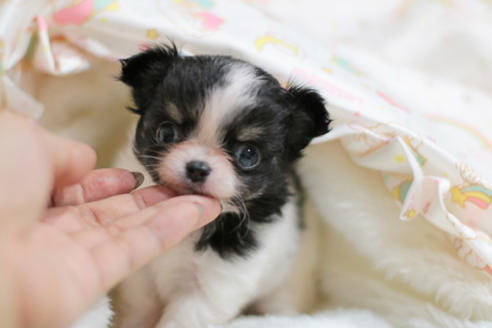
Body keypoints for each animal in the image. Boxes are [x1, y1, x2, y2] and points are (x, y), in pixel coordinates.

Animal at [111, 44, 330, 328]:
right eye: (166, 133)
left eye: (248, 155)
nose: (197, 167)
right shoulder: (141, 276)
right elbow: (138, 309)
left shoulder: (210, 290)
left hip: (289, 285)